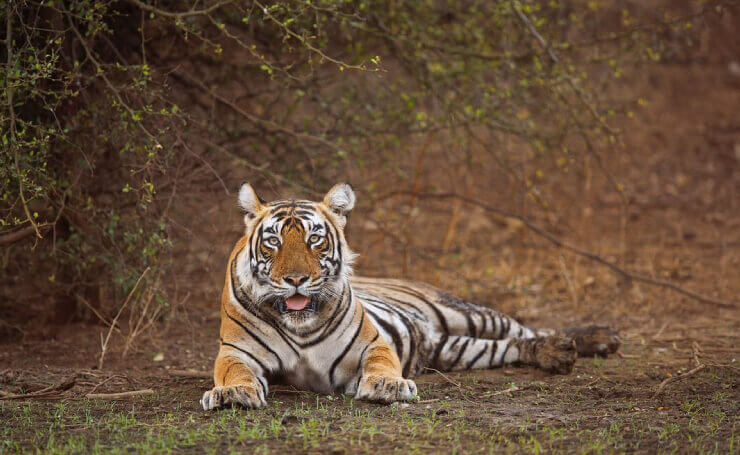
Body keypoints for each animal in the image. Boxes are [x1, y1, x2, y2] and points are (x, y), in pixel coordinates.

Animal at [201, 183, 620, 412]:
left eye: (314, 239)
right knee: (513, 345)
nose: (296, 279)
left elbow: (383, 365)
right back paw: (559, 353)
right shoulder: (236, 353)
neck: (299, 326)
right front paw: (233, 393)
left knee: (526, 329)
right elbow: (235, 372)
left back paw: (594, 339)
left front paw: (388, 387)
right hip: (457, 349)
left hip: (466, 314)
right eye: (273, 241)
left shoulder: (372, 343)